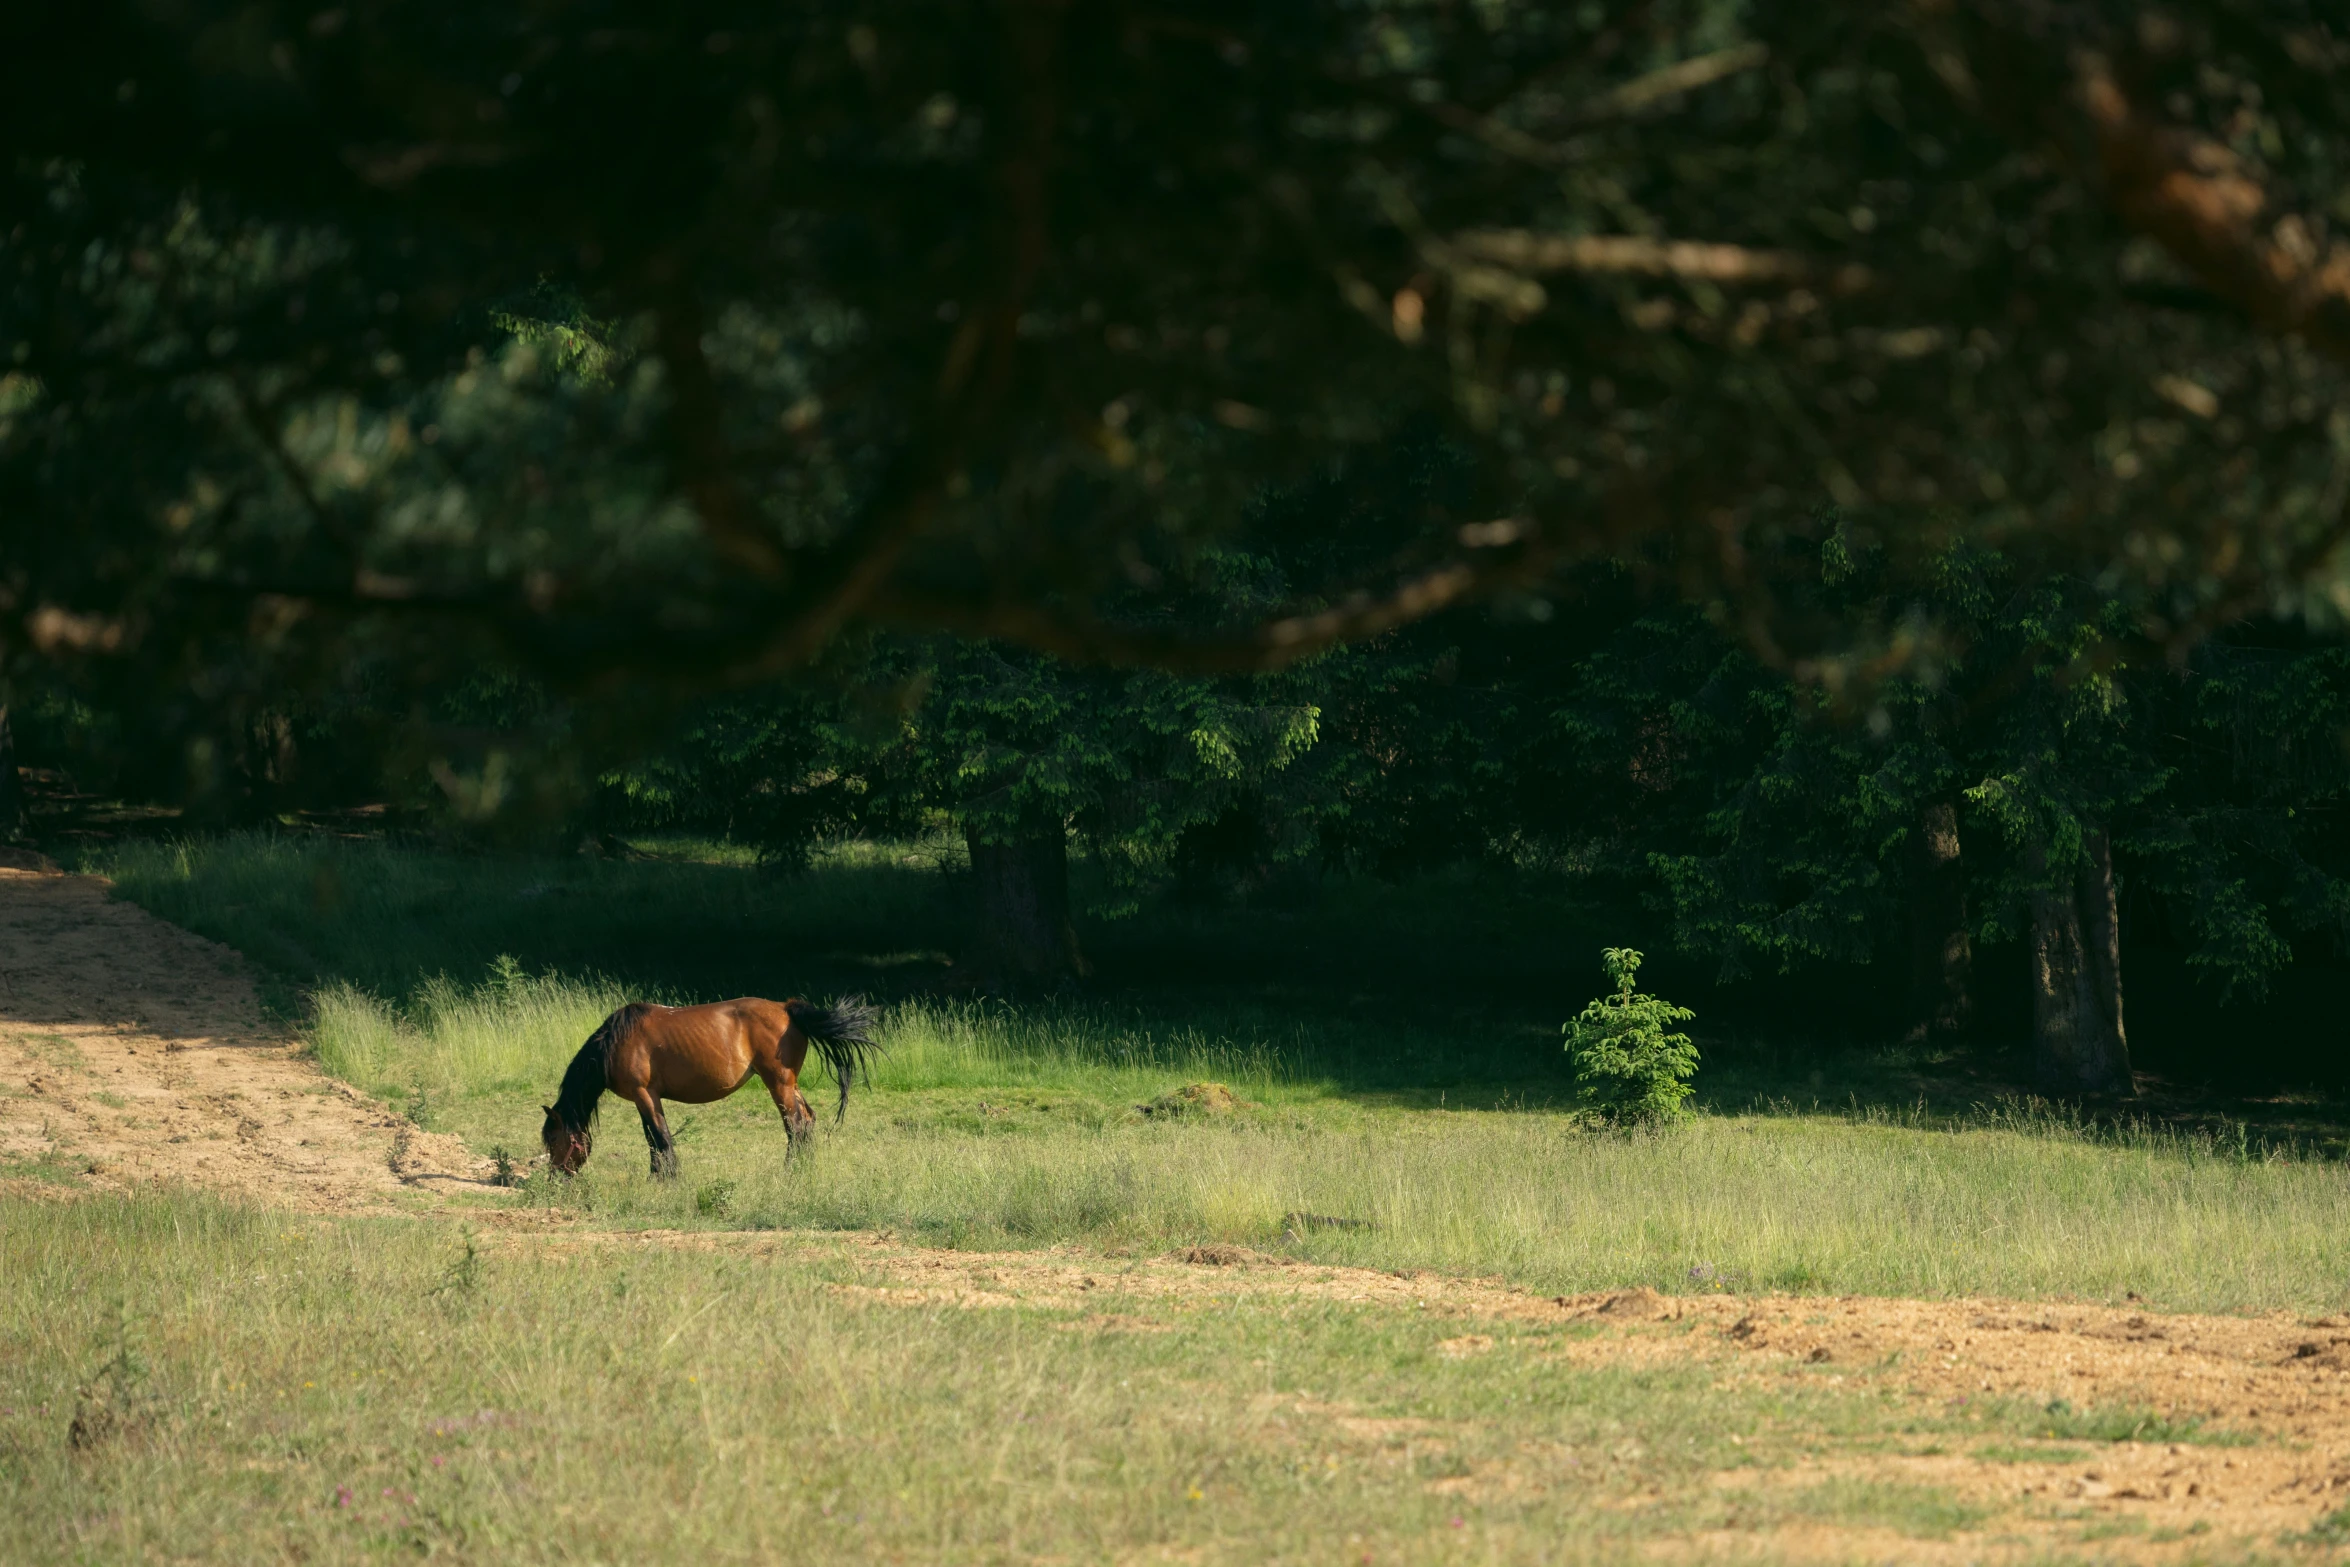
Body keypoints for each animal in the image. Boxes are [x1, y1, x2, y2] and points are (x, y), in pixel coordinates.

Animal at [540, 1000, 883, 1184]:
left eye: (554, 1139)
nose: (556, 1178)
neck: (614, 1043)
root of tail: (787, 1008)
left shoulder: (645, 1094)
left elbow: (660, 1137)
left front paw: (668, 1179)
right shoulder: (645, 1099)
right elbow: (652, 1138)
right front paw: (658, 1177)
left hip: (779, 1084)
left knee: (795, 1126)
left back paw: (789, 1170)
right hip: (791, 1086)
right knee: (808, 1121)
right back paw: (804, 1168)